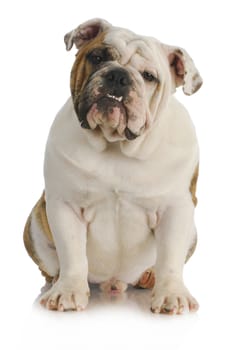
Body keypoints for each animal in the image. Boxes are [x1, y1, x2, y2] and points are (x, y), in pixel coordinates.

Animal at [22, 18, 201, 314]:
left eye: (149, 76)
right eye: (97, 57)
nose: (118, 76)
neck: (116, 145)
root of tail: (114, 282)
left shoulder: (176, 208)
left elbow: (170, 258)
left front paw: (171, 295)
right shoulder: (65, 205)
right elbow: (72, 253)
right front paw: (68, 291)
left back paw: (148, 277)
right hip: (36, 218)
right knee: (53, 264)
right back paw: (57, 282)